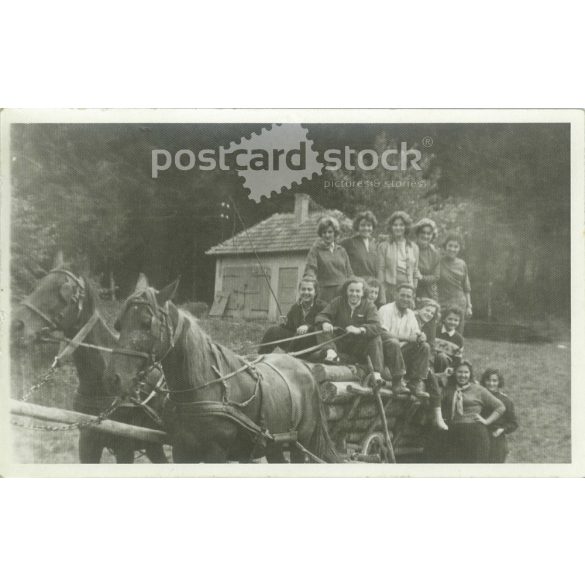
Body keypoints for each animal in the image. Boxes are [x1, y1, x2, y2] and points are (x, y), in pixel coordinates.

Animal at [10, 266, 168, 464]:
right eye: (38, 286)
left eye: (64, 291)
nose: (16, 325)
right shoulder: (87, 440)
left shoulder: (125, 446)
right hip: (153, 445)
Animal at [102, 276, 336, 464]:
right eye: (118, 324)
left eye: (146, 323)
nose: (113, 378)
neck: (200, 388)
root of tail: (304, 367)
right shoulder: (181, 451)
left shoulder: (217, 452)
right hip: (275, 445)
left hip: (301, 443)